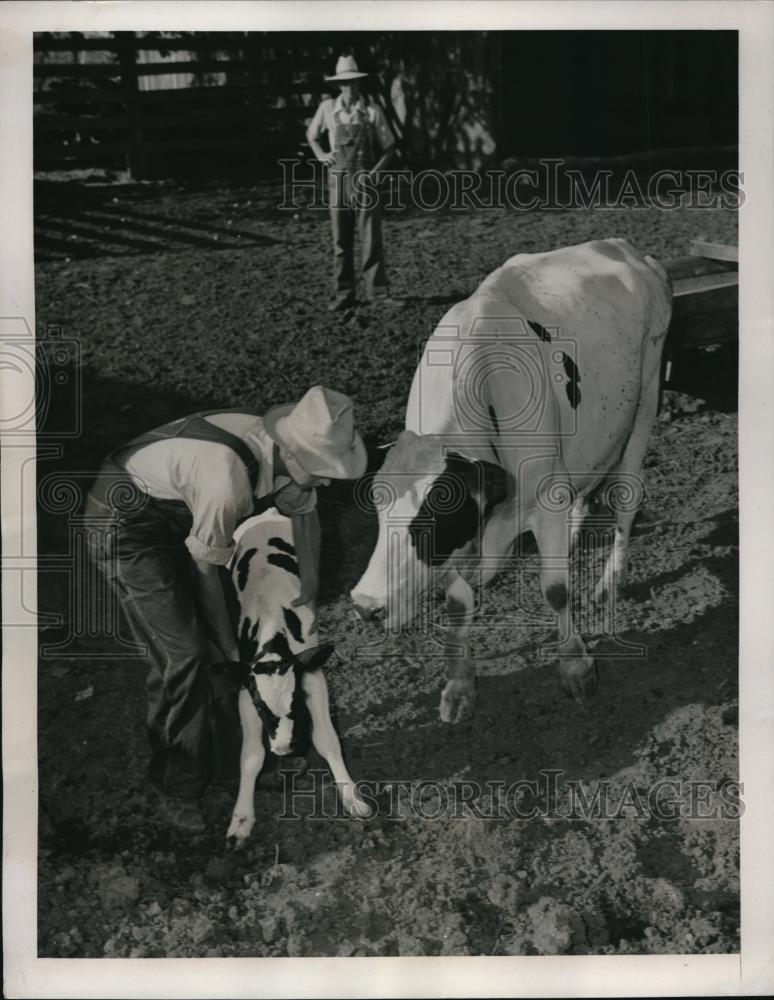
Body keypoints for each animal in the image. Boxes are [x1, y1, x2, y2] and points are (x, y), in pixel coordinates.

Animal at [224, 508, 372, 844]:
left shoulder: (312, 676)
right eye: (262, 707)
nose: (282, 749)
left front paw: (351, 796)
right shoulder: (245, 691)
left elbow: (326, 739)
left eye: (294, 704)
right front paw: (241, 819)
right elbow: (250, 756)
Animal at [352, 243, 672, 728]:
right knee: (583, 495)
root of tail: (624, 248)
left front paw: (576, 665)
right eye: (377, 507)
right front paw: (459, 686)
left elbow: (555, 590)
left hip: (644, 405)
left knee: (626, 502)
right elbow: (458, 605)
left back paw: (609, 581)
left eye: (431, 519)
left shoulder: (543, 498)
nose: (365, 606)